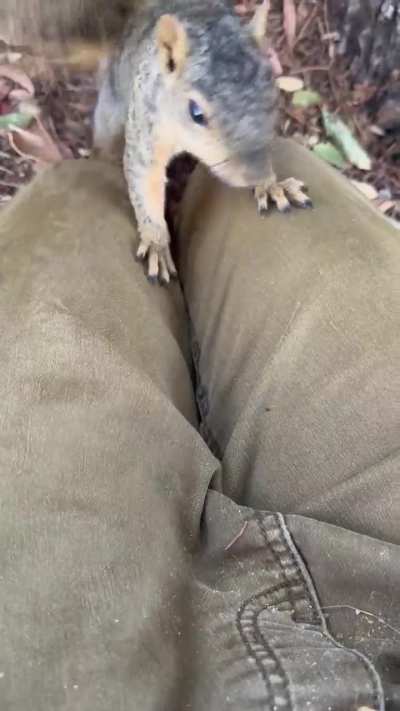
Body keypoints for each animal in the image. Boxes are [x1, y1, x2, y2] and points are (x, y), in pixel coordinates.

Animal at [93, 0, 312, 284]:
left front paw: (273, 186)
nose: (257, 175)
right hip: (112, 110)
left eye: (272, 96)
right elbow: (144, 179)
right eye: (196, 112)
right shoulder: (148, 121)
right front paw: (156, 242)